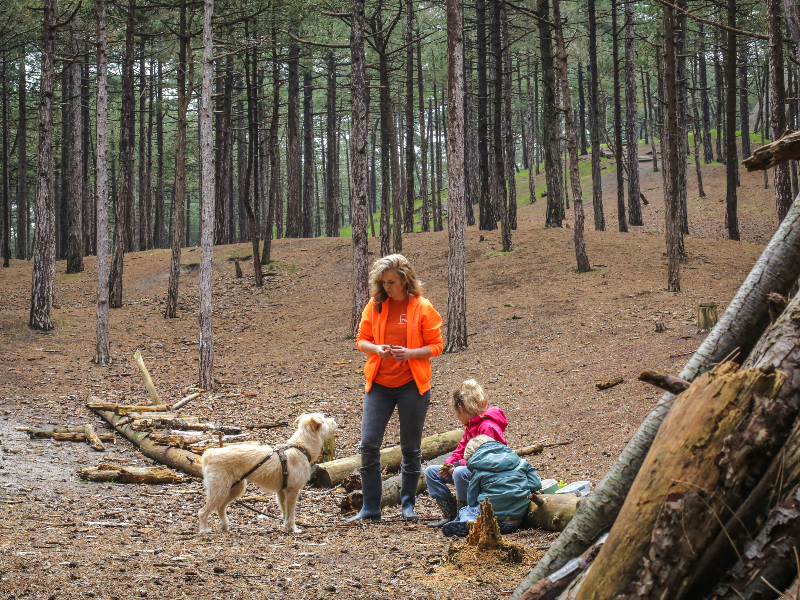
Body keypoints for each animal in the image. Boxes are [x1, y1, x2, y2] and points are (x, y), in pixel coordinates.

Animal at [203, 412, 338, 536]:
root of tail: (210, 454)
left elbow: (285, 512)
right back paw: (203, 529)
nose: (334, 421)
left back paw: (225, 526)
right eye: (324, 420)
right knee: (203, 511)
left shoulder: (281, 492)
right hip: (220, 490)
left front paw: (287, 527)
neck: (301, 447)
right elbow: (291, 513)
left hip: (235, 489)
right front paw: (293, 528)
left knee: (220, 507)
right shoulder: (293, 491)